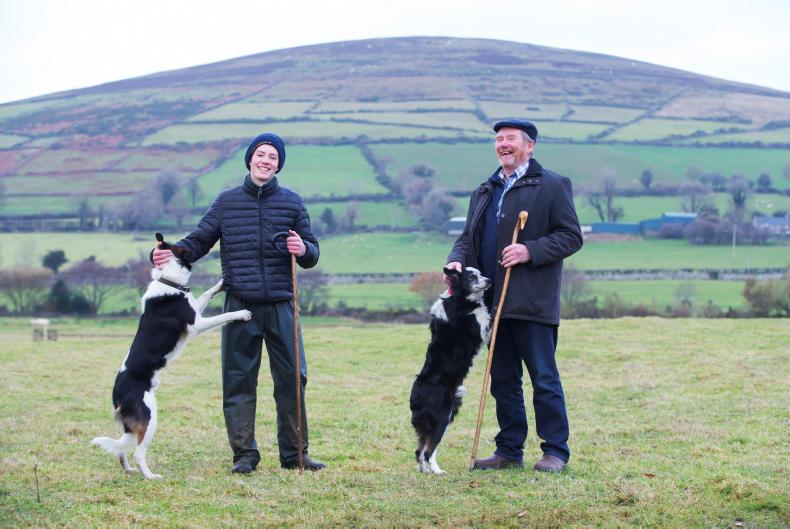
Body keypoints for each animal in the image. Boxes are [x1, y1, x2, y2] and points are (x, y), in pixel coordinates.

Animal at [91, 233, 252, 479]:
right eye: (184, 247)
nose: (208, 250)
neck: (168, 281)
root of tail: (117, 395)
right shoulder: (196, 325)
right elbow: (224, 316)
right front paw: (242, 313)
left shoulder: (196, 308)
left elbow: (206, 293)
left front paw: (221, 283)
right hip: (149, 417)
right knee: (138, 453)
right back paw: (151, 476)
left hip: (132, 426)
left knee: (121, 449)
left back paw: (129, 470)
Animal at [409, 266, 491, 474]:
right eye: (471, 277)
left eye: (481, 273)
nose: (489, 281)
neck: (459, 298)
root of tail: (415, 401)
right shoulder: (480, 330)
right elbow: (490, 316)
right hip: (442, 418)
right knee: (427, 451)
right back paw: (437, 472)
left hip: (438, 420)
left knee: (420, 450)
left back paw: (426, 471)